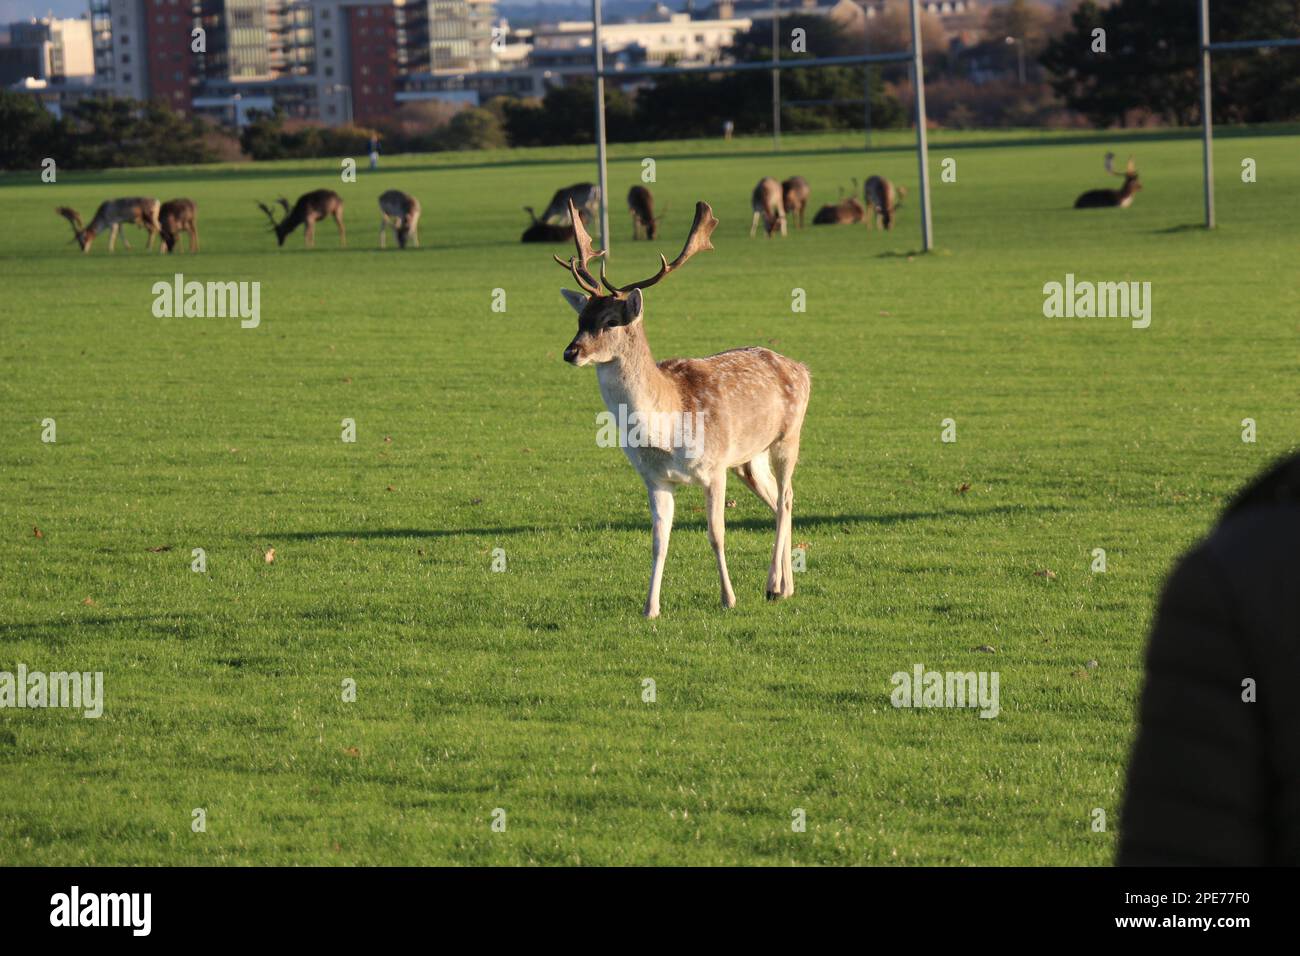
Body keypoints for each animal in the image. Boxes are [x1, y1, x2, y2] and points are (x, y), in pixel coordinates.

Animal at [556, 198, 811, 618]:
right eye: (580, 318)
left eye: (610, 320)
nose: (570, 352)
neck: (667, 427)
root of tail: (801, 367)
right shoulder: (654, 478)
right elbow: (659, 541)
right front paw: (650, 608)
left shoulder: (714, 467)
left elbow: (716, 534)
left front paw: (728, 598)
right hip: (748, 458)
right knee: (778, 501)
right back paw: (784, 586)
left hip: (788, 436)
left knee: (787, 496)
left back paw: (774, 584)